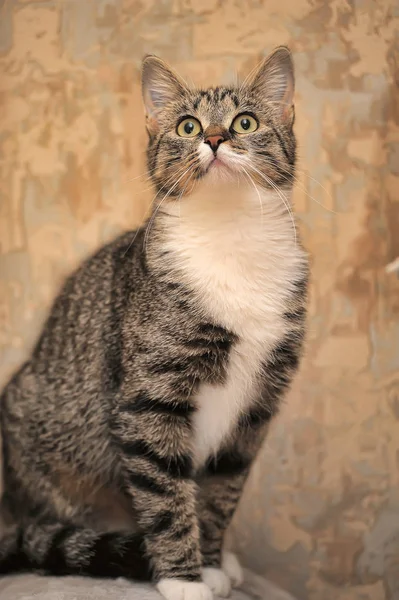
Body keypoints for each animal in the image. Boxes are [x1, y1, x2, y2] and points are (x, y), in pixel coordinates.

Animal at [0, 48, 310, 600]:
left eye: (244, 122)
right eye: (188, 126)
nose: (214, 139)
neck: (230, 236)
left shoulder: (255, 412)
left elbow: (221, 493)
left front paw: (209, 561)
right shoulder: (150, 399)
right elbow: (165, 490)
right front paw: (183, 577)